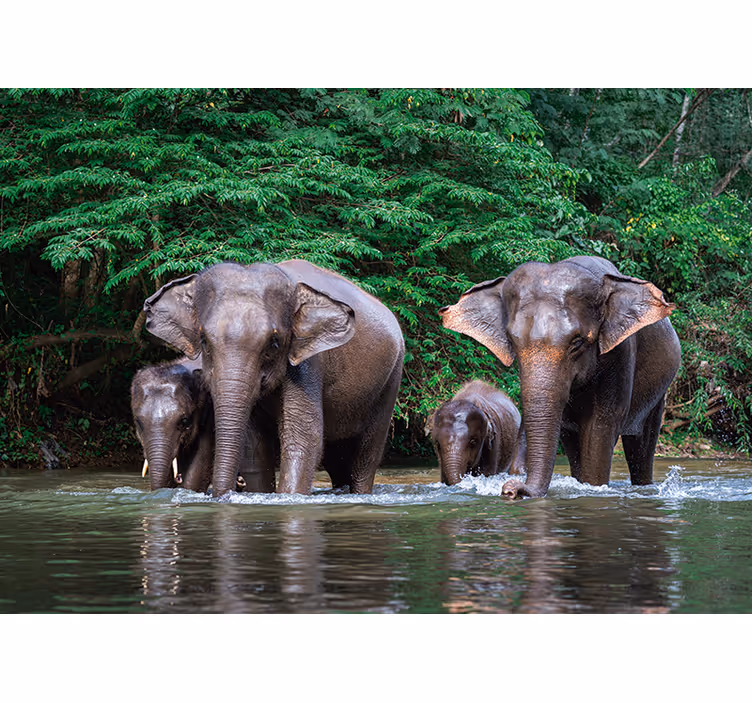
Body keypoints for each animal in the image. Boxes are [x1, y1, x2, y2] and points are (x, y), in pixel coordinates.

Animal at [143, 259, 405, 497]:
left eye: (274, 343)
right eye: (204, 341)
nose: (226, 493)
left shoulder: (308, 363)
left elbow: (304, 438)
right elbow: (255, 449)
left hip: (391, 380)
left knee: (365, 456)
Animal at [440, 255, 681, 499]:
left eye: (577, 342)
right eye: (512, 341)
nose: (510, 489)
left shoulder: (620, 354)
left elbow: (601, 425)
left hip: (658, 394)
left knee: (641, 445)